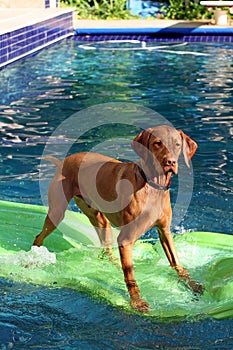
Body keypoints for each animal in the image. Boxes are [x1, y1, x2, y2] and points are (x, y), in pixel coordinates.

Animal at [33, 125, 203, 312]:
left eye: (177, 144)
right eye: (157, 143)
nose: (170, 162)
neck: (152, 185)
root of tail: (63, 161)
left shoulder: (164, 232)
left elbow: (178, 264)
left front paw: (193, 285)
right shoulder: (126, 239)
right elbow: (130, 275)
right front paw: (137, 301)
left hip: (99, 219)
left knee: (105, 248)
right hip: (57, 213)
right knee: (39, 237)